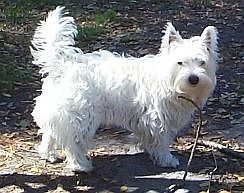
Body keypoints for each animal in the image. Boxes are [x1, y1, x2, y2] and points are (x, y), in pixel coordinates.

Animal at [29, 6, 218, 172]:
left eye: (202, 62)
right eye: (180, 62)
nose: (193, 78)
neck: (169, 80)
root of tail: (63, 66)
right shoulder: (159, 119)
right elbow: (162, 141)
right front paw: (166, 159)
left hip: (58, 112)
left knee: (50, 133)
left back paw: (48, 154)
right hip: (81, 117)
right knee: (74, 142)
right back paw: (80, 165)